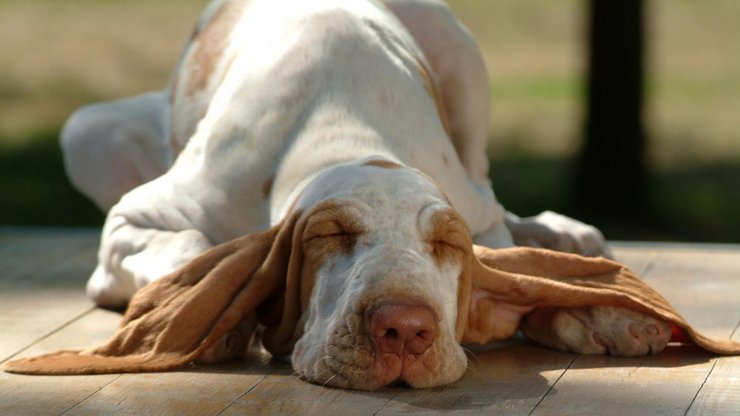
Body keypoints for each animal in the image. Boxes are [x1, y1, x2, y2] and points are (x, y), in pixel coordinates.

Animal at [55, 0, 672, 390]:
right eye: (331, 235)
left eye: (446, 245)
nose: (405, 331)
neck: (344, 133)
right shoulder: (140, 215)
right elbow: (187, 246)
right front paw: (211, 316)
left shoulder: (478, 221)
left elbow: (515, 274)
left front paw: (594, 314)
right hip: (86, 132)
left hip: (458, 56)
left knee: (492, 184)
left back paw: (566, 238)